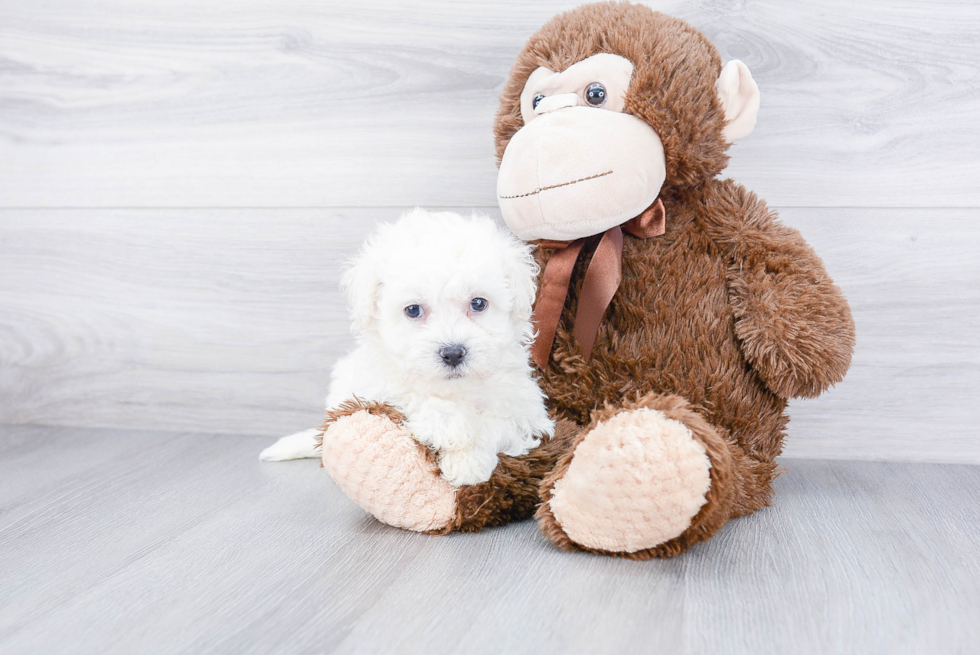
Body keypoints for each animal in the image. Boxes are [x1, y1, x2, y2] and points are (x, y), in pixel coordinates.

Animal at [258, 210, 552, 486]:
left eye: (478, 303)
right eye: (413, 310)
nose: (453, 353)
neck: (454, 391)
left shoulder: (524, 408)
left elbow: (496, 420)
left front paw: (468, 462)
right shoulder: (373, 387)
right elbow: (409, 396)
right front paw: (450, 425)